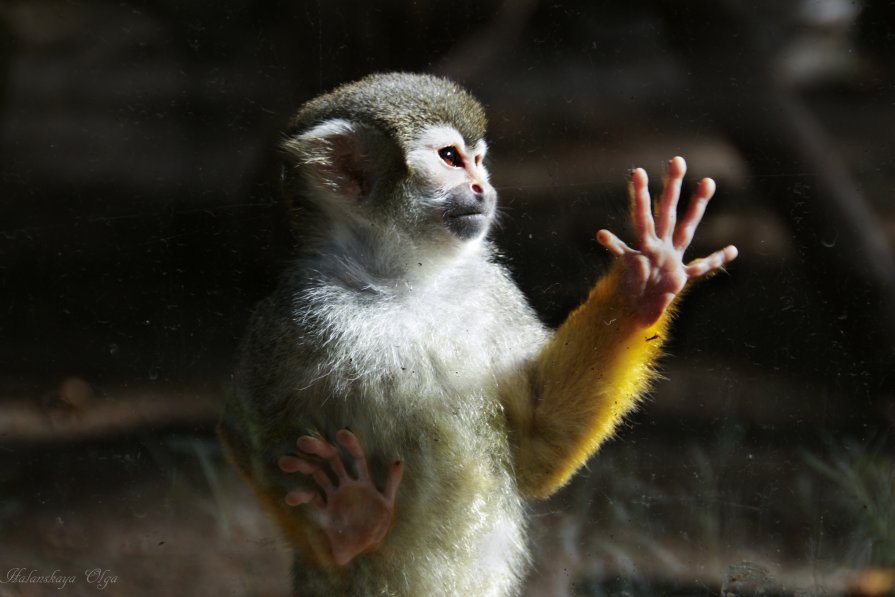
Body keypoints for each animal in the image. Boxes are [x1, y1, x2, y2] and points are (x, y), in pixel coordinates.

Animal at [217, 72, 736, 592]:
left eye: (479, 161)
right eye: (450, 157)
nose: (482, 186)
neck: (404, 283)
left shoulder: (493, 291)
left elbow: (537, 447)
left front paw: (645, 278)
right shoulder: (296, 313)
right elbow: (240, 430)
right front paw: (345, 527)